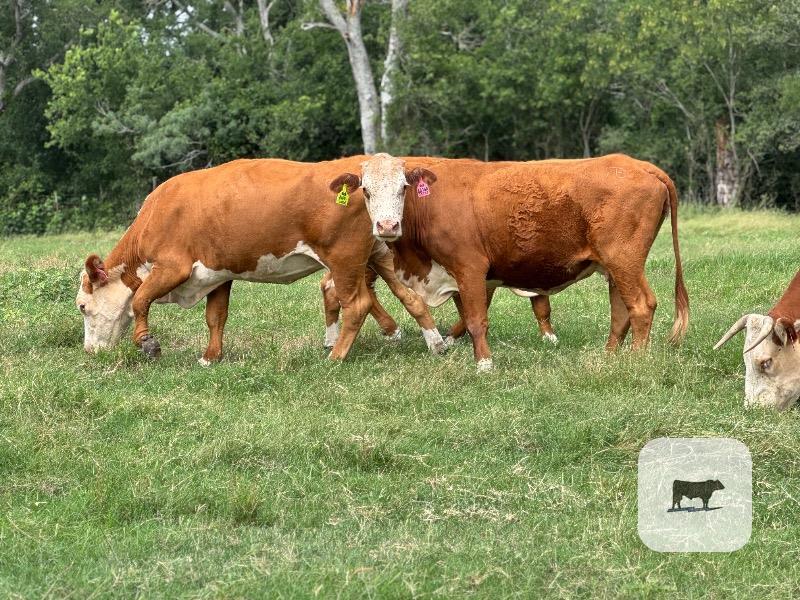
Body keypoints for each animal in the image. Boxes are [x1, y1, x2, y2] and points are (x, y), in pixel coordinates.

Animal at [76, 155, 447, 363]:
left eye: (82, 306)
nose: (89, 351)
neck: (159, 214)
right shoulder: (217, 272)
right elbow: (216, 317)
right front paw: (211, 357)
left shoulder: (172, 266)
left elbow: (140, 299)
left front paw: (147, 343)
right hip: (378, 251)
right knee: (408, 296)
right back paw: (435, 343)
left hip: (345, 260)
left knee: (357, 304)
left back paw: (336, 356)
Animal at [329, 154, 689, 371]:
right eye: (366, 191)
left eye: (403, 188)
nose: (387, 226)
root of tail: (638, 164)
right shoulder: (470, 277)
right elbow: (466, 317)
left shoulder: (470, 267)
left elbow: (476, 320)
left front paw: (484, 365)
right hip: (614, 267)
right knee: (620, 311)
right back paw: (610, 356)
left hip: (624, 260)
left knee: (641, 306)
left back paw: (636, 360)